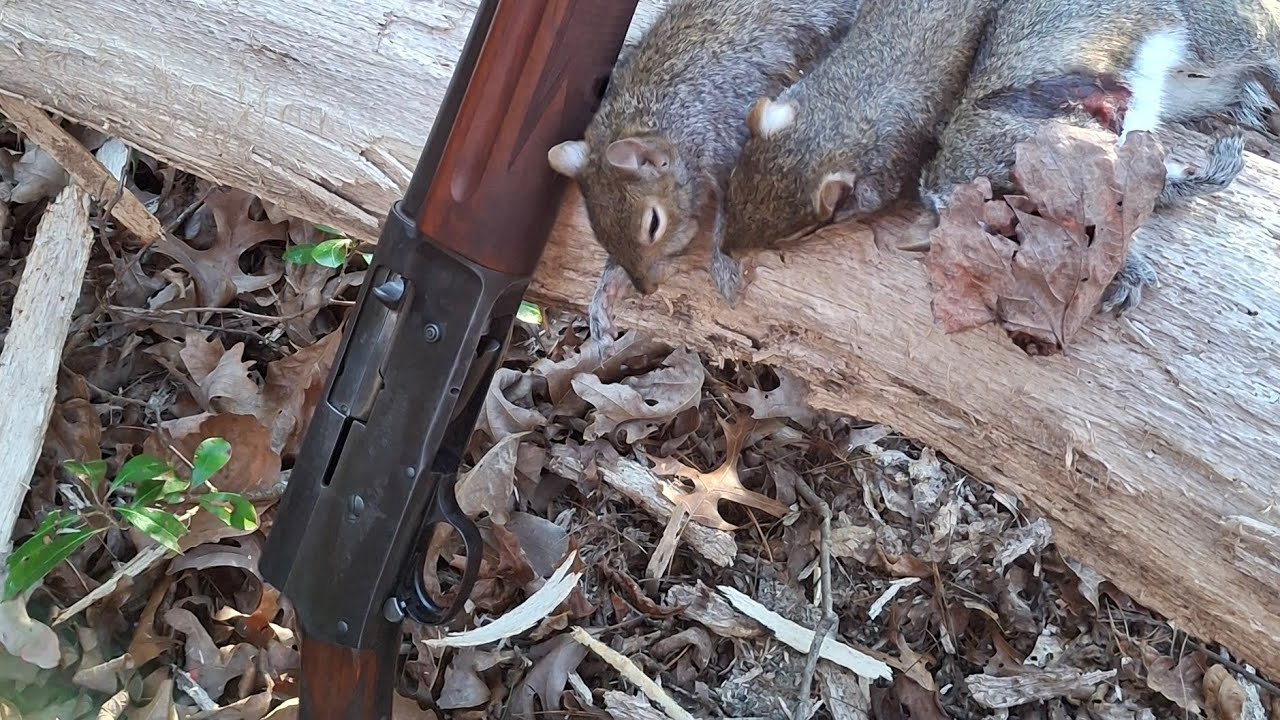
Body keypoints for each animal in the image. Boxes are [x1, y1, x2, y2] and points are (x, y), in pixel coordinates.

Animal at [545, 0, 863, 340]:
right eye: (599, 234)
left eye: (653, 224)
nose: (647, 288)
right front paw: (607, 290)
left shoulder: (734, 138)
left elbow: (731, 209)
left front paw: (723, 266)